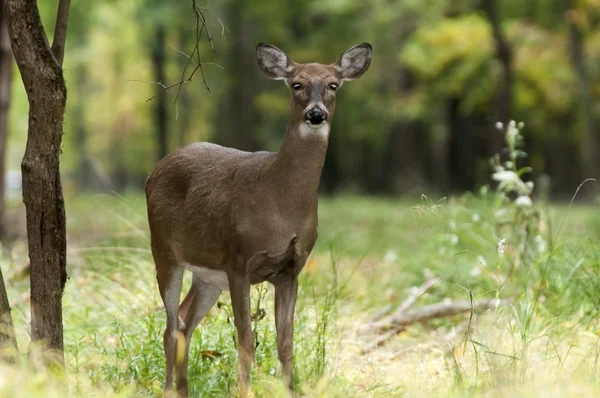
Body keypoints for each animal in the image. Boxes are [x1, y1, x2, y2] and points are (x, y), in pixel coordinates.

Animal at [145, 42, 370, 396]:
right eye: (296, 84)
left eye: (334, 84)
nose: (316, 114)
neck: (280, 202)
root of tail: (153, 172)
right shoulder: (239, 260)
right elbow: (246, 342)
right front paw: (244, 391)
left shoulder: (291, 269)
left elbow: (286, 344)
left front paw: (289, 390)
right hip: (164, 252)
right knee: (170, 324)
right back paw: (169, 389)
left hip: (207, 275)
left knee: (183, 320)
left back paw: (184, 388)